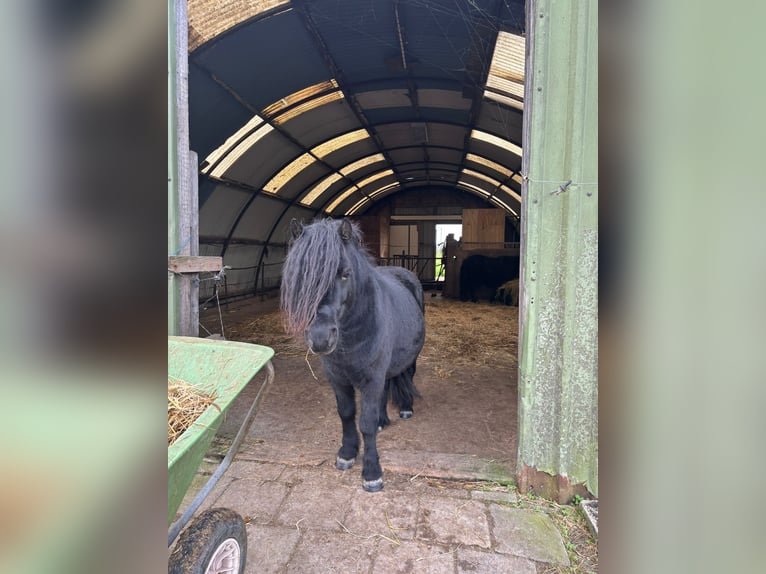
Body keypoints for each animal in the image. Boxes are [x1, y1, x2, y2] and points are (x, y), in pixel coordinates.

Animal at [280, 218, 426, 492]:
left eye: (345, 274)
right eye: (300, 275)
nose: (320, 338)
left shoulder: (371, 378)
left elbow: (365, 423)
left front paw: (371, 473)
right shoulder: (338, 378)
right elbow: (346, 413)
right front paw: (347, 454)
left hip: (410, 359)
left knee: (408, 376)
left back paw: (405, 409)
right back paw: (383, 420)